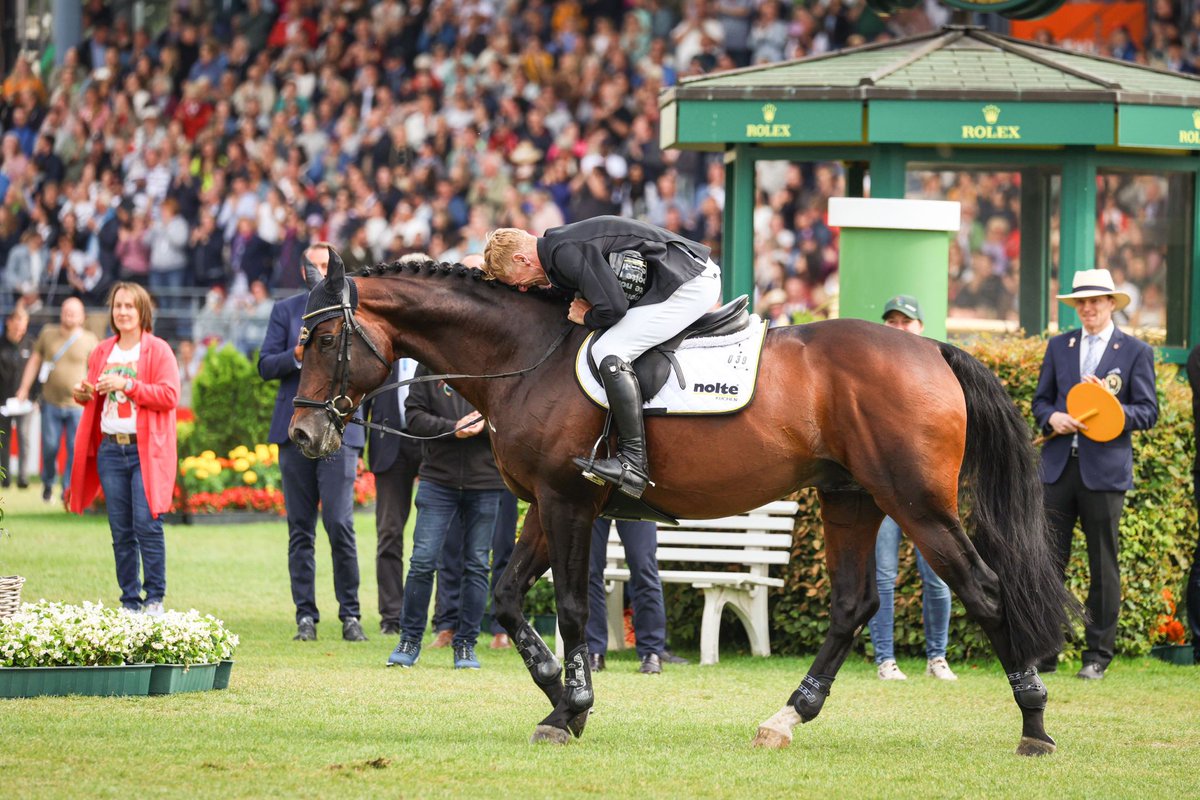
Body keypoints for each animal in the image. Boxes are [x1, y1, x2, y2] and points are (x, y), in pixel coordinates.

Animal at [292, 251, 1080, 758]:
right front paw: (557, 698)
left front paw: (571, 707)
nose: (302, 434)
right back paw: (785, 719)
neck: (525, 355)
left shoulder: (568, 502)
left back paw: (1035, 726)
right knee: (854, 605)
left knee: (983, 590)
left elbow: (571, 608)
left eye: (326, 338)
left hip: (917, 506)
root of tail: (935, 350)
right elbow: (511, 599)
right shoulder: (545, 505)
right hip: (851, 499)